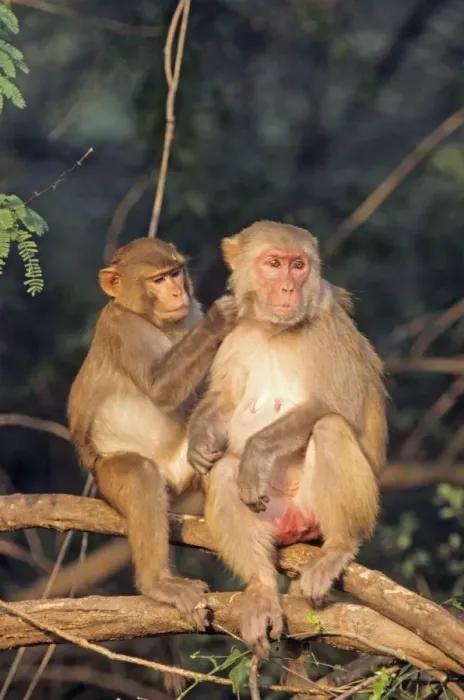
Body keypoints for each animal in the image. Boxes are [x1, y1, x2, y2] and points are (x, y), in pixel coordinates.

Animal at [68, 237, 237, 633]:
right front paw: (222, 317)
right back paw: (157, 583)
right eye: (158, 280)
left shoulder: (190, 313)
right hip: (107, 476)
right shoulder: (121, 326)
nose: (177, 292)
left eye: (176, 272)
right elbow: (161, 387)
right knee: (141, 476)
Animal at [187, 220, 387, 658]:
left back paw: (338, 547)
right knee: (222, 472)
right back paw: (262, 588)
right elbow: (225, 403)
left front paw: (256, 454)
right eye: (274, 264)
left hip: (315, 511)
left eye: (298, 266)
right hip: (276, 516)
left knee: (329, 428)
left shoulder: (328, 332)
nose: (287, 289)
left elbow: (335, 407)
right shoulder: (235, 333)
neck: (274, 330)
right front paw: (198, 438)